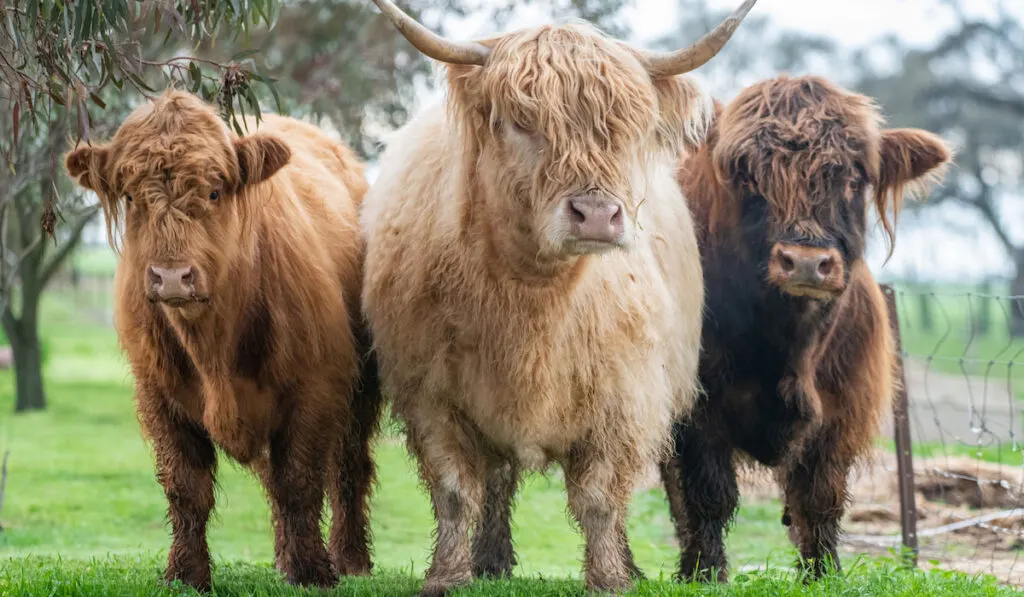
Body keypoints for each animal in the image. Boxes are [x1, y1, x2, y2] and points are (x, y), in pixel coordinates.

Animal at [65, 91, 385, 589]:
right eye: (131, 195)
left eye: (214, 191)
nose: (171, 276)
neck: (214, 345)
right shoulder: (159, 396)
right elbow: (187, 488)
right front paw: (186, 573)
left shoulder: (316, 387)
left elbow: (301, 481)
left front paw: (314, 571)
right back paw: (284, 558)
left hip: (362, 389)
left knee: (349, 469)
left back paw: (351, 560)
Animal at [364, 2, 757, 593]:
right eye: (522, 121)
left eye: (625, 129)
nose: (596, 215)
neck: (534, 301)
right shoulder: (430, 392)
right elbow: (455, 491)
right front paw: (448, 575)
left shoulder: (624, 398)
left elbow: (600, 499)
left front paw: (610, 579)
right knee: (496, 480)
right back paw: (491, 561)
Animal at [659, 75, 954, 585]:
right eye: (748, 176)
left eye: (853, 178)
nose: (805, 262)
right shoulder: (697, 405)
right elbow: (706, 493)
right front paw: (704, 572)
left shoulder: (841, 408)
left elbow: (819, 497)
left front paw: (823, 573)